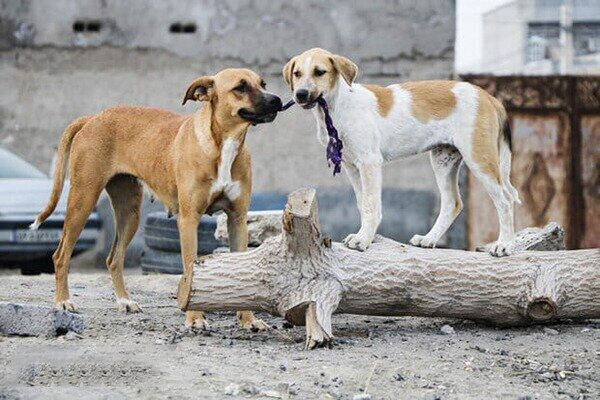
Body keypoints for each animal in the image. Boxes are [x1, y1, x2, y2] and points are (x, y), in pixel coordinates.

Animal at [32, 69, 284, 330]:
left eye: (263, 84)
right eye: (240, 87)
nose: (276, 100)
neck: (224, 144)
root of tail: (93, 118)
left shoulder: (238, 219)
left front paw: (248, 319)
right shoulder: (188, 220)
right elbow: (190, 268)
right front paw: (195, 318)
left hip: (130, 214)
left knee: (114, 259)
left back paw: (125, 301)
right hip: (82, 202)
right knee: (61, 255)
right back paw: (63, 301)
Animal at [284, 48, 516, 256]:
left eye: (319, 72)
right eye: (297, 74)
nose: (300, 94)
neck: (337, 106)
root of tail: (488, 97)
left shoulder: (369, 162)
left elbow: (371, 204)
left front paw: (363, 239)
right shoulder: (352, 166)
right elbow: (362, 203)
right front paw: (365, 236)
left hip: (479, 158)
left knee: (505, 201)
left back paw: (504, 245)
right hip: (443, 160)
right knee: (452, 203)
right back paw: (429, 239)